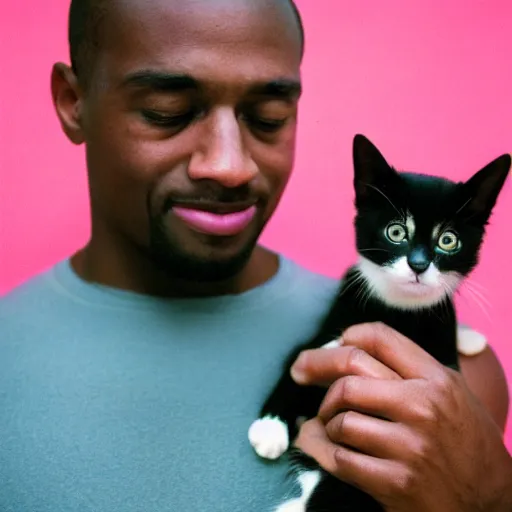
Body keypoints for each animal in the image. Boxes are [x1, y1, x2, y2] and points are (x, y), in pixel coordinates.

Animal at [247, 135, 508, 512]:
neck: (398, 311)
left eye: (448, 240)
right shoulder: (330, 327)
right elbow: (299, 361)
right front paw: (270, 427)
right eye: (396, 231)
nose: (418, 264)